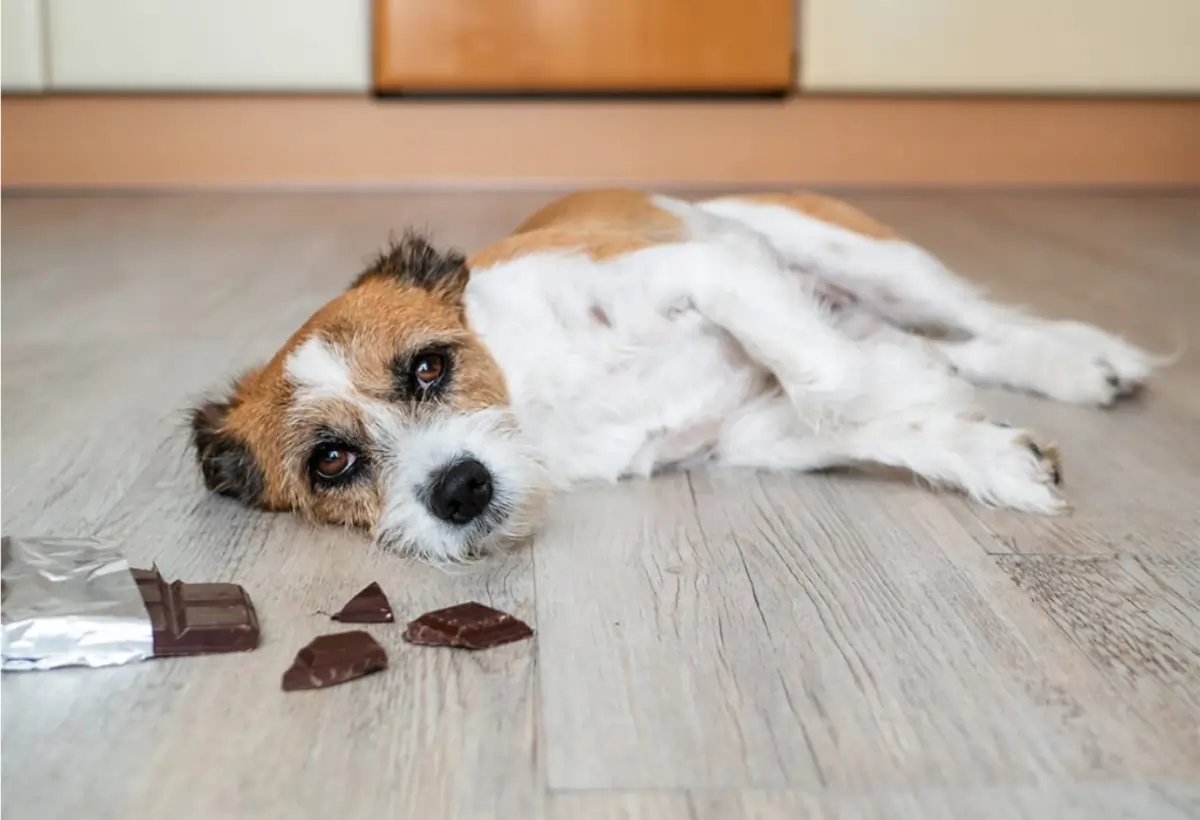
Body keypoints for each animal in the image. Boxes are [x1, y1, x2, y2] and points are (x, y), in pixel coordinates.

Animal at [187, 189, 1161, 564]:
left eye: (430, 366)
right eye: (332, 462)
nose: (459, 489)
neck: (537, 394)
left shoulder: (707, 267)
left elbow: (827, 373)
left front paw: (897, 384)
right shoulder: (749, 435)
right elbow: (862, 418)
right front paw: (986, 453)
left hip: (865, 257)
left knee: (983, 321)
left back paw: (1086, 359)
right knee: (964, 345)